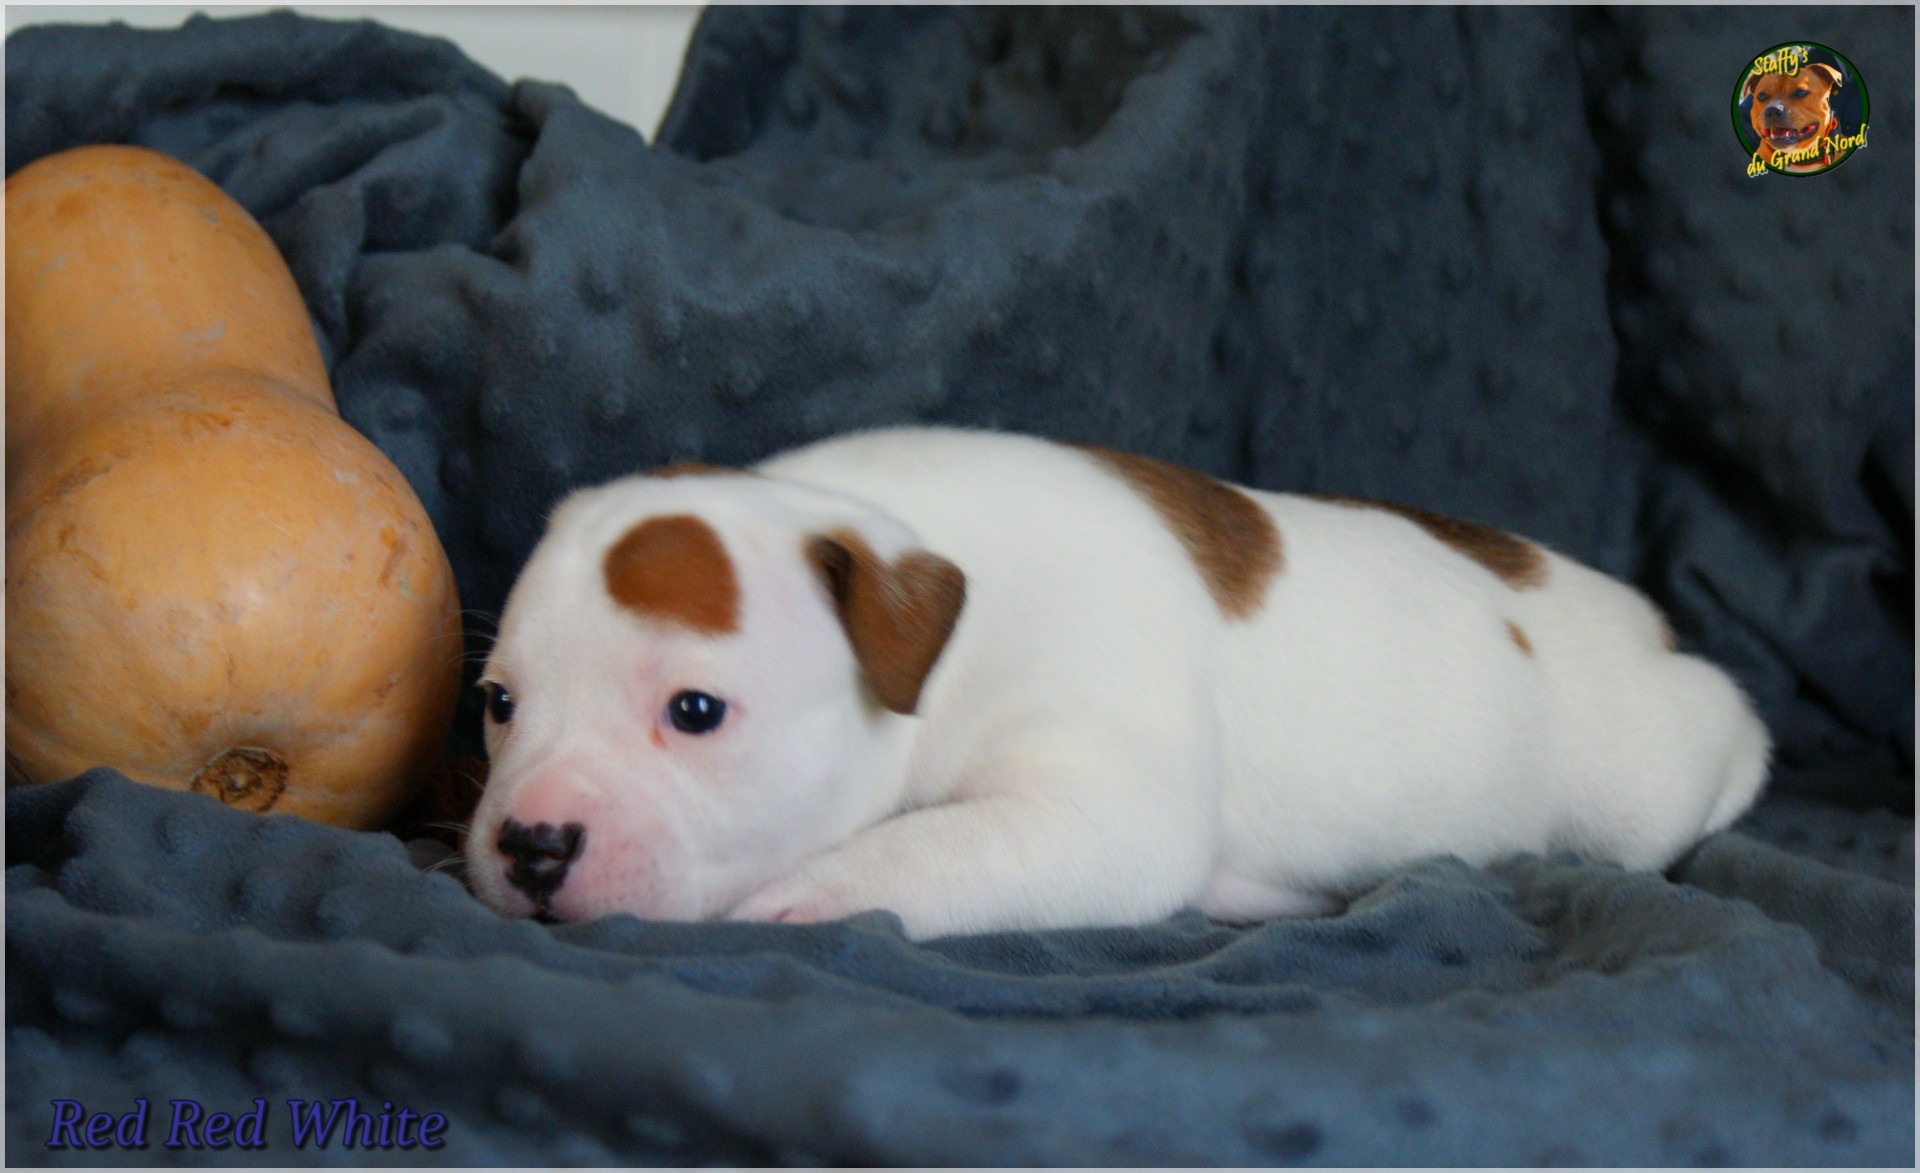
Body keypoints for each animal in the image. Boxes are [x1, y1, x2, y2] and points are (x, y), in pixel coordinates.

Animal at [464, 426, 1766, 940]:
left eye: (695, 713)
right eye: (498, 705)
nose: (530, 843)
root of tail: (1641, 619)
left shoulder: (1094, 809)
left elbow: (929, 847)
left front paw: (809, 895)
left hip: (1644, 778)